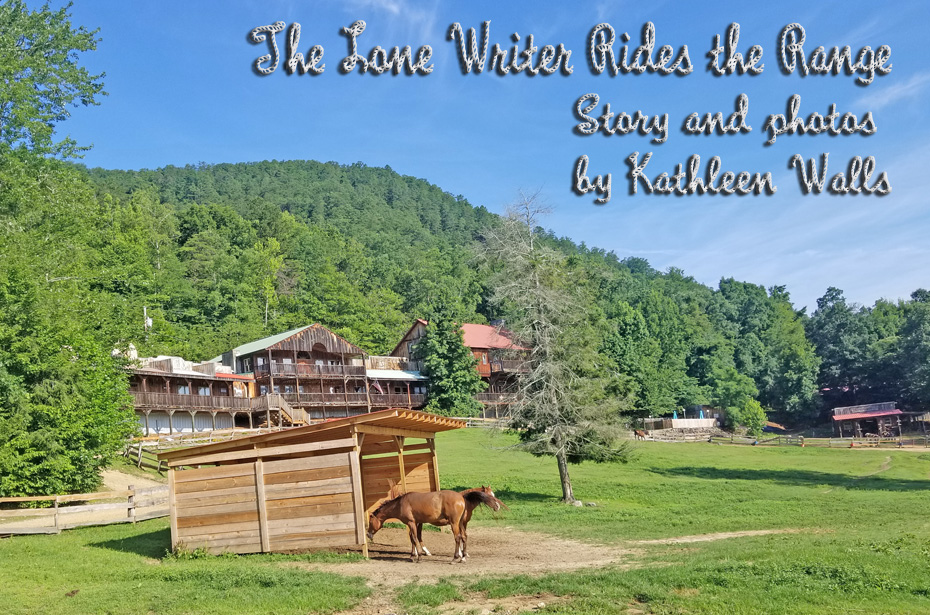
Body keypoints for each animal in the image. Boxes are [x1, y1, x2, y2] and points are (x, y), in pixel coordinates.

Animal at [366, 490, 500, 564]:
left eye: (370, 522)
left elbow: (414, 538)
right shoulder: (417, 523)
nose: (368, 534)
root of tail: (462, 498)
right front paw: (413, 555)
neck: (400, 504)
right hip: (461, 523)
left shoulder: (411, 523)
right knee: (464, 537)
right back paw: (463, 558)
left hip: (454, 523)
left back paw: (455, 558)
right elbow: (414, 538)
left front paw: (419, 556)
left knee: (457, 538)